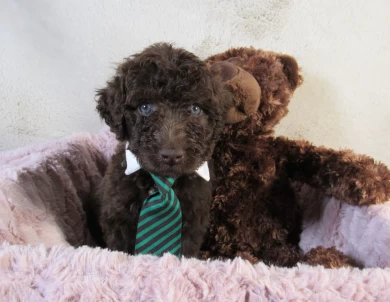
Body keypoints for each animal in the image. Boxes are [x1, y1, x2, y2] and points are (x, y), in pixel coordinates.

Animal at [92, 42, 232, 258]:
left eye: (195, 109)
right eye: (145, 107)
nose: (172, 155)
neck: (163, 181)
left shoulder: (194, 220)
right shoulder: (117, 218)